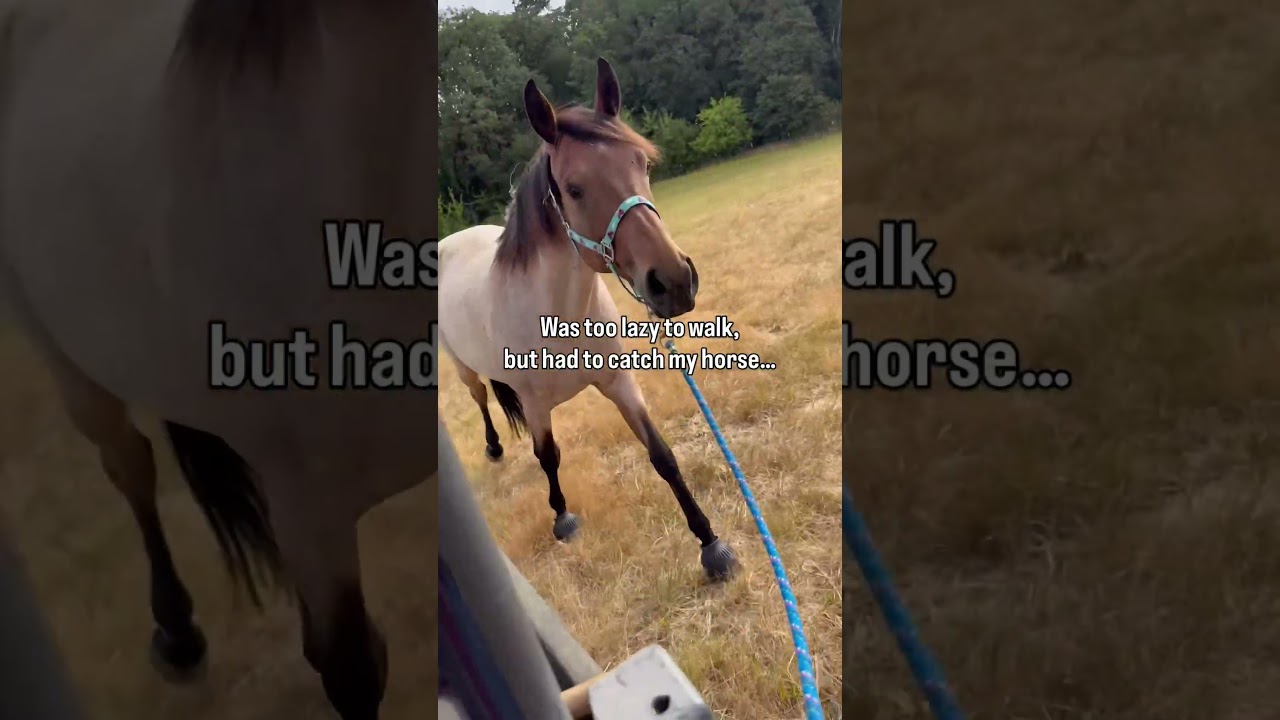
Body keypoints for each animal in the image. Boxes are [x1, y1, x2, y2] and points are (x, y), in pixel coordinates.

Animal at [438, 58, 739, 582]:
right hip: (462, 366)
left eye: (642, 164)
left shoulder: (619, 383)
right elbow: (548, 456)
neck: (560, 314)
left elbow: (662, 455)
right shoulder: (537, 406)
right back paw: (494, 448)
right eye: (575, 189)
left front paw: (709, 542)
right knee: (479, 399)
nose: (674, 282)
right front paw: (562, 516)